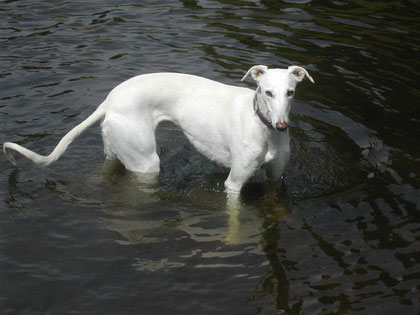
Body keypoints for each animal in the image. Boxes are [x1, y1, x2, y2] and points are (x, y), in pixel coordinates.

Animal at [2, 65, 312, 194]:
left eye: (291, 92)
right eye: (267, 92)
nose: (282, 125)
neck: (262, 126)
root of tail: (111, 99)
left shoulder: (276, 178)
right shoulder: (234, 184)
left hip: (116, 150)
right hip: (146, 162)